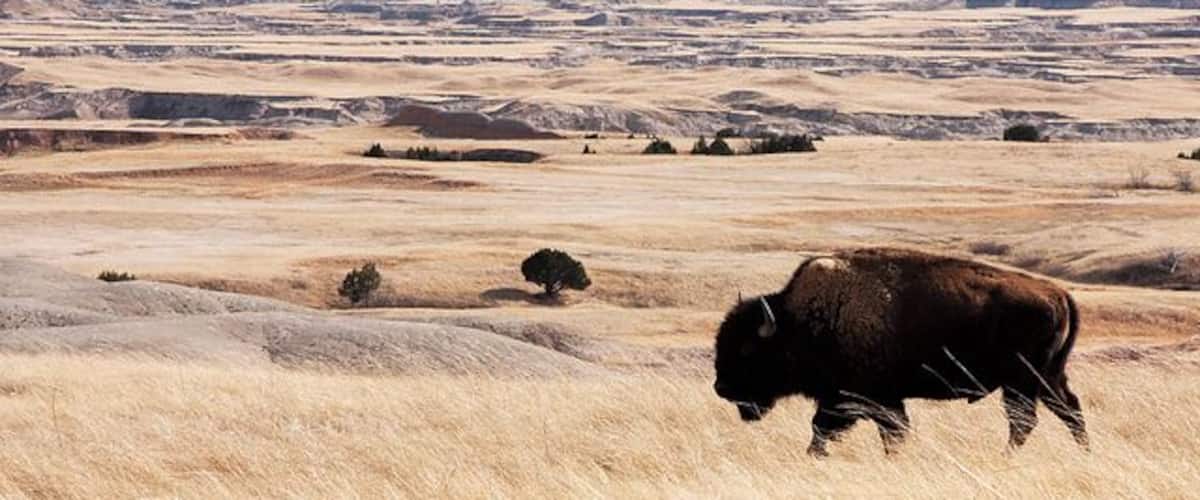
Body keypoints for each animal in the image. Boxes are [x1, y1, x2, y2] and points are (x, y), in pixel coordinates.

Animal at [713, 248, 1088, 456]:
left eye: (747, 349)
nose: (721, 387)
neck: (800, 321)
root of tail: (1058, 293)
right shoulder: (873, 400)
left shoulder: (864, 399)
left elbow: (829, 430)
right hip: (1048, 378)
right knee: (1068, 411)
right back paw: (1084, 452)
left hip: (1022, 382)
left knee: (1025, 421)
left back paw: (1005, 457)